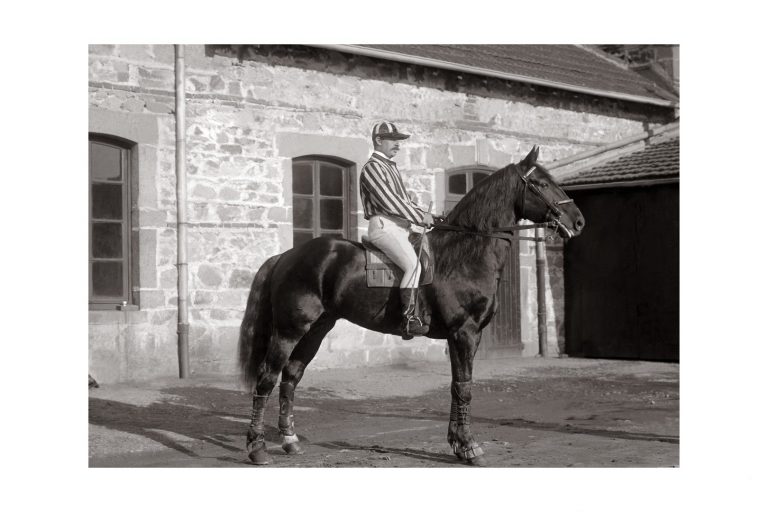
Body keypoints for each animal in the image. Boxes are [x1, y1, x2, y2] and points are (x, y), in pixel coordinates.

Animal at [237, 146, 584, 466]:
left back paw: (290, 441)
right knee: (267, 378)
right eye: (540, 183)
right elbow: (465, 387)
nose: (578, 221)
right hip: (289, 331)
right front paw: (470, 447)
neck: (465, 253)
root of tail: (286, 255)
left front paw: (457, 443)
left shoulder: (459, 338)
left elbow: (456, 386)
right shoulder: (465, 334)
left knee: (291, 377)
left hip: (316, 330)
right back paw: (257, 448)